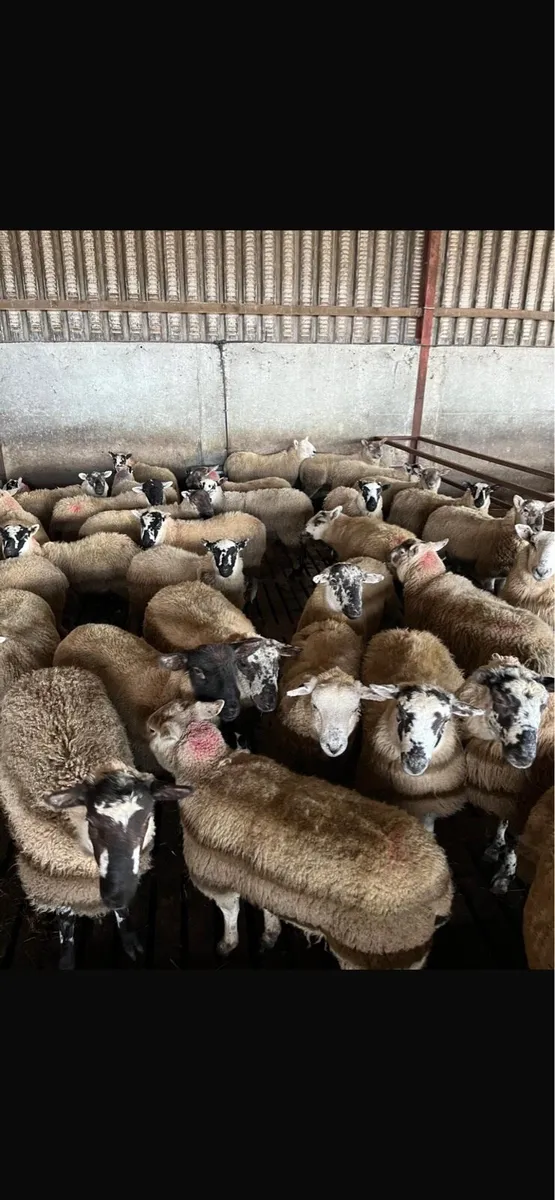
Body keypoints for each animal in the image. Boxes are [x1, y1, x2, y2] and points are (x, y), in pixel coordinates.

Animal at [0, 664, 189, 968]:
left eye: (147, 818)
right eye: (92, 821)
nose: (115, 895)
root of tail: (49, 672)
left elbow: (122, 913)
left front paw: (129, 938)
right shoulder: (60, 882)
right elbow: (66, 922)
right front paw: (67, 957)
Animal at [136, 510, 266, 569]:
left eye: (158, 524)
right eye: (141, 524)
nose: (146, 542)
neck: (173, 532)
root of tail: (260, 523)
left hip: (253, 559)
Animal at [147, 700, 454, 969]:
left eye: (154, 732)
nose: (147, 724)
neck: (208, 769)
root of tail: (440, 886)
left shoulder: (212, 875)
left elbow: (230, 912)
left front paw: (226, 945)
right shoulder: (260, 877)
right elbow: (268, 907)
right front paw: (269, 935)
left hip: (375, 951)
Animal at [422, 495, 555, 588]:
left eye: (544, 513)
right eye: (525, 510)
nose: (538, 528)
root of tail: (442, 508)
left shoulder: (503, 576)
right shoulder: (487, 574)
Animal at [455, 656, 554, 893]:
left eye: (543, 705)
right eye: (502, 698)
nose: (525, 756)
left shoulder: (527, 799)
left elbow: (515, 840)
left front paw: (505, 875)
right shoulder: (506, 788)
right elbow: (502, 820)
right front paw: (495, 847)